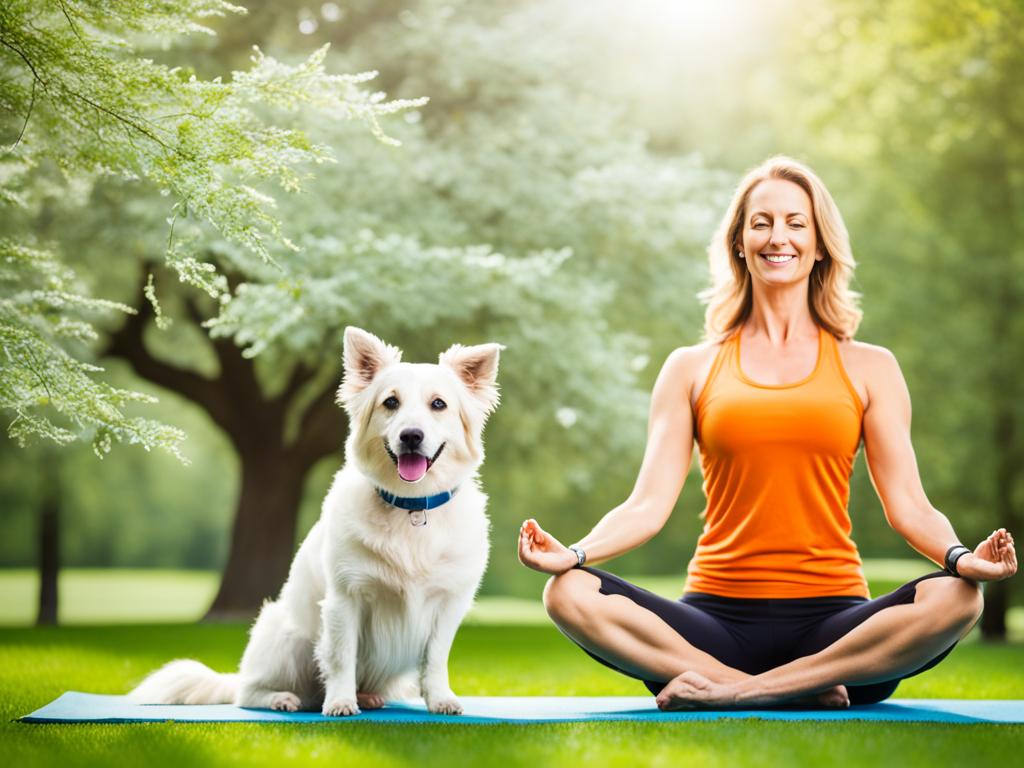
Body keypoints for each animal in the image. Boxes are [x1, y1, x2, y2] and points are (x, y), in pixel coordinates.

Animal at [130, 327, 501, 720]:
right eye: (390, 402)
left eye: (438, 404)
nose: (411, 436)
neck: (410, 508)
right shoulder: (344, 599)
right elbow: (341, 657)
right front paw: (339, 702)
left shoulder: (448, 605)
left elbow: (435, 659)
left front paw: (440, 699)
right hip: (287, 640)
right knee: (248, 692)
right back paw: (282, 698)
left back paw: (367, 696)